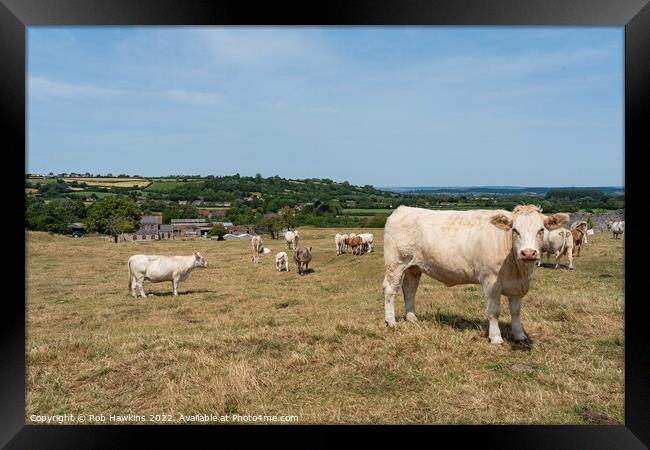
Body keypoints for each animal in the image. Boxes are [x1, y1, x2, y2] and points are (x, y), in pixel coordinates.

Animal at [380, 205, 568, 344]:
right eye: (515, 230)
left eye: (541, 230)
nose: (528, 253)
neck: (519, 270)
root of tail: (403, 209)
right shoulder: (490, 282)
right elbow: (494, 311)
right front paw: (496, 337)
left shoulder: (517, 286)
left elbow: (516, 311)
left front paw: (519, 334)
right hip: (395, 263)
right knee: (390, 290)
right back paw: (391, 322)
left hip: (414, 267)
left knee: (409, 289)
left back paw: (412, 317)